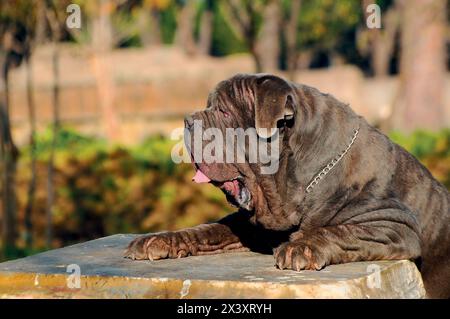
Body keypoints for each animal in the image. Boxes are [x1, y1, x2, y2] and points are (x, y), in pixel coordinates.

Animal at [124, 74, 450, 298]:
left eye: (224, 113)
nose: (187, 120)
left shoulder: (393, 223)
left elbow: (340, 230)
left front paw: (301, 246)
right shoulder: (253, 224)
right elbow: (208, 229)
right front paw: (159, 239)